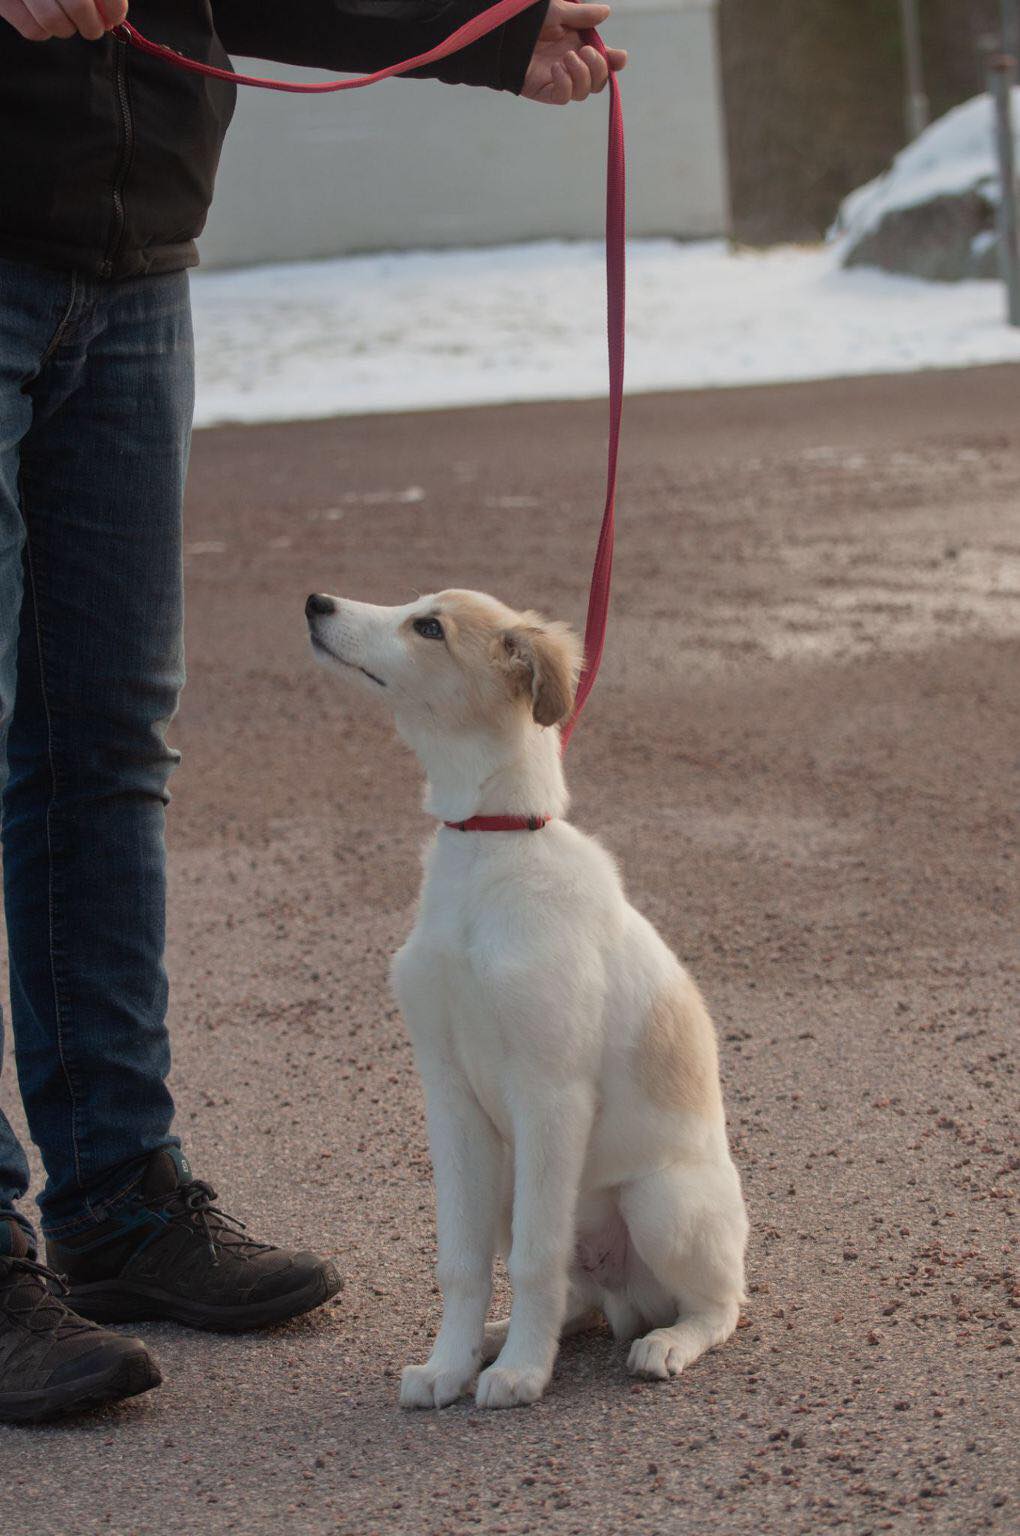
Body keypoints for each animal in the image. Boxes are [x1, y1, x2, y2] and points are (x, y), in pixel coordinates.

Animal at [306, 586, 748, 1410]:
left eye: (429, 627)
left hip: (660, 1203)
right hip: (513, 1185)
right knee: (575, 1298)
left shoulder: (550, 1093)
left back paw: (664, 1343)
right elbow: (462, 1262)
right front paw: (450, 1364)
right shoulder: (449, 1095)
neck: (491, 847)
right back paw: (495, 1338)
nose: (317, 602)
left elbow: (537, 1261)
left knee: (718, 1304)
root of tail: (624, 1298)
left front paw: (522, 1373)